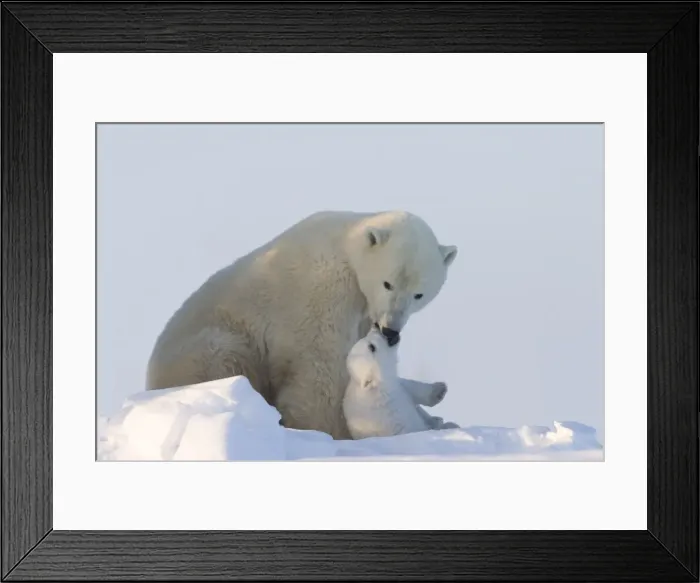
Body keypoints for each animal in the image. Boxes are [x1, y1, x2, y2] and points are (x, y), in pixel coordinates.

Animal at [146, 210, 457, 440]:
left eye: (419, 294)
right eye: (387, 283)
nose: (391, 329)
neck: (348, 246)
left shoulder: (362, 311)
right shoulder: (325, 292)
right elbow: (321, 367)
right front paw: (332, 429)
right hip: (204, 347)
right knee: (223, 355)